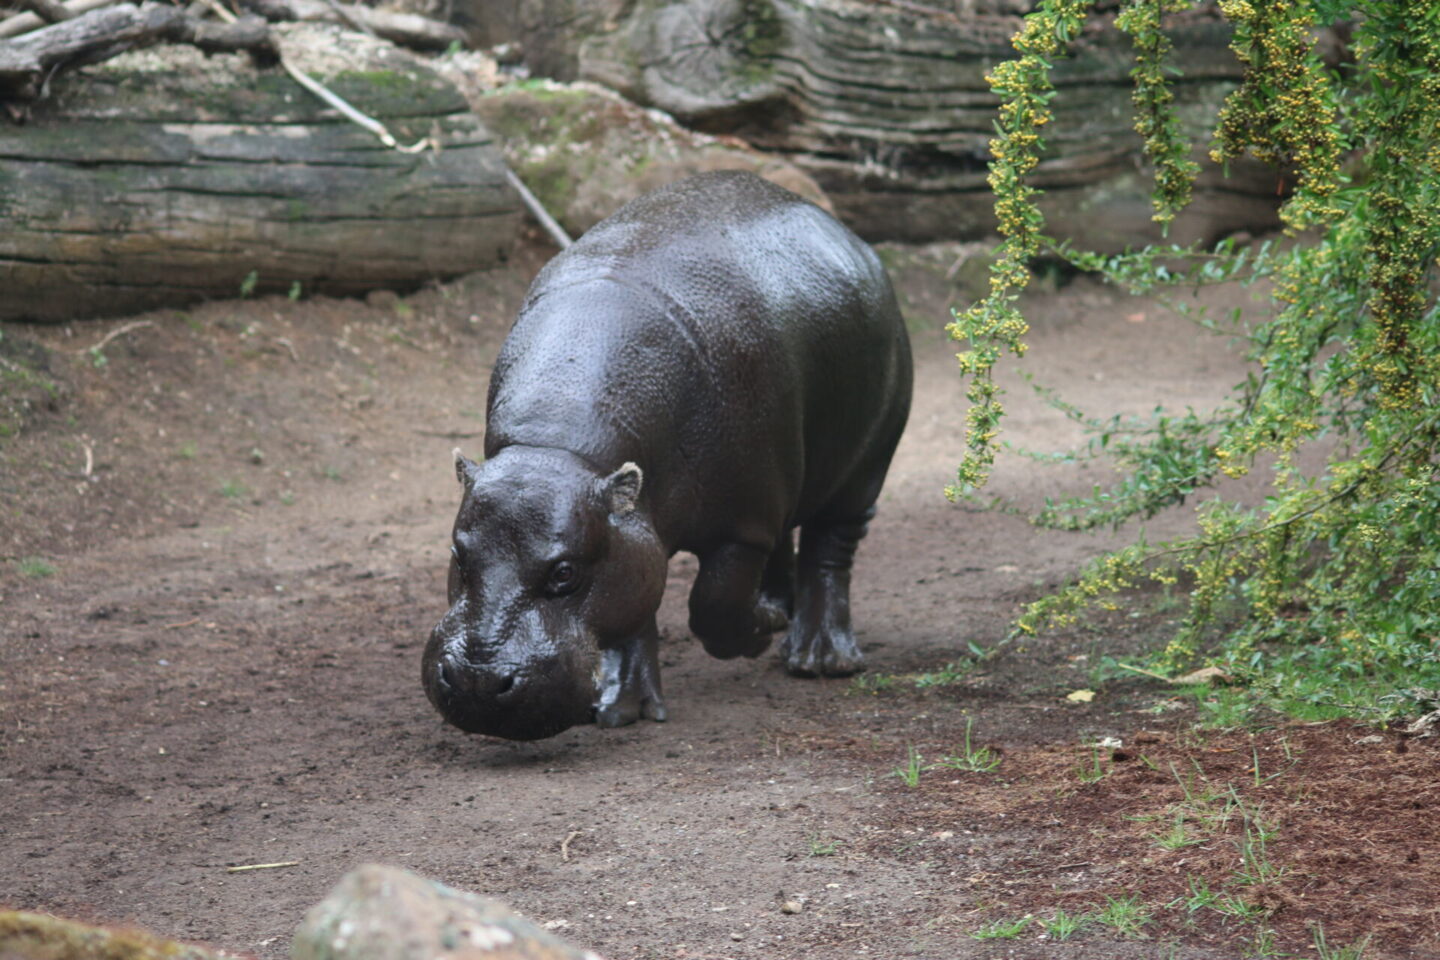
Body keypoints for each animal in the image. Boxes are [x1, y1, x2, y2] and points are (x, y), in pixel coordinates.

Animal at [423, 170, 912, 741]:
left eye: (564, 572)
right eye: (458, 553)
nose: (477, 683)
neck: (558, 452)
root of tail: (845, 233)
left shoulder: (741, 526)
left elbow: (713, 604)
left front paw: (760, 630)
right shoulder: (633, 526)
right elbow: (636, 606)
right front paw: (621, 710)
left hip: (864, 466)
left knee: (831, 548)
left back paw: (819, 658)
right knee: (789, 540)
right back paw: (782, 613)